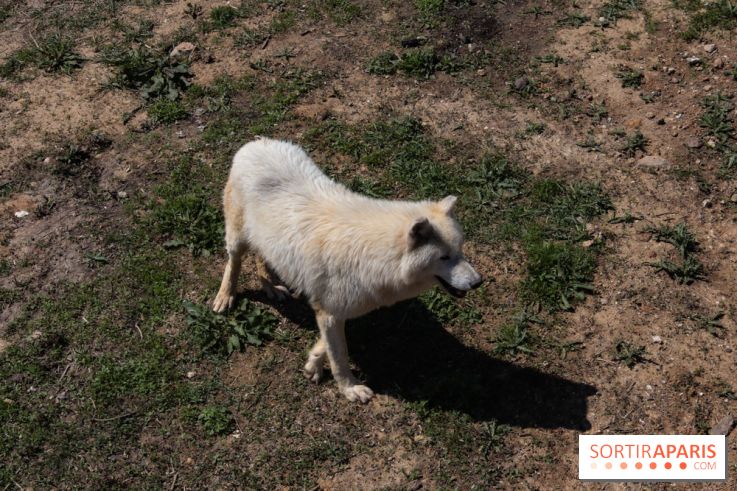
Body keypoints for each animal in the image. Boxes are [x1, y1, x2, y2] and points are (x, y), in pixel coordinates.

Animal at [213, 138, 482, 403]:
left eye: (460, 250)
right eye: (444, 257)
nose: (478, 282)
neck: (379, 257)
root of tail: (255, 142)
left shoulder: (336, 309)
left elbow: (327, 345)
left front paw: (313, 365)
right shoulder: (330, 312)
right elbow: (339, 356)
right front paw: (349, 389)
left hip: (266, 240)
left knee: (261, 256)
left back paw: (270, 288)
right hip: (237, 240)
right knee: (233, 264)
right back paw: (225, 297)